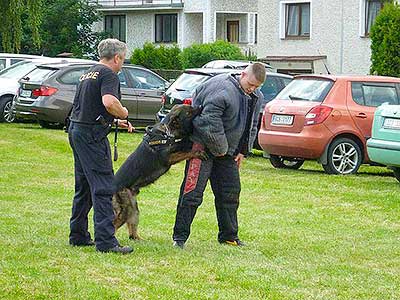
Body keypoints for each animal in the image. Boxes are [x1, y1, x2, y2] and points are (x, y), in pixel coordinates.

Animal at [111, 104, 206, 240]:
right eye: (189, 111)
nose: (200, 106)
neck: (167, 132)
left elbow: (184, 144)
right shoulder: (169, 158)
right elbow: (186, 152)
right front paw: (197, 152)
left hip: (134, 209)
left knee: (132, 232)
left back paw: (139, 239)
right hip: (126, 209)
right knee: (114, 225)